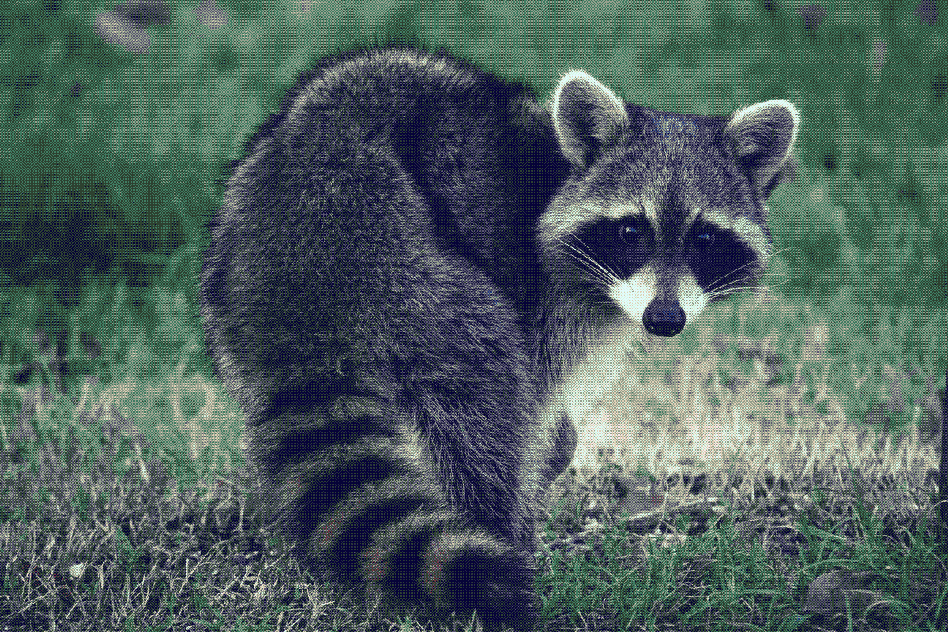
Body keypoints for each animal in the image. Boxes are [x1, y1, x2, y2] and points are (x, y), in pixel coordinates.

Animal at [200, 48, 798, 631]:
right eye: (632, 231)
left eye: (705, 238)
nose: (665, 319)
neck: (560, 173)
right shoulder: (533, 284)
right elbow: (534, 395)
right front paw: (549, 454)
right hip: (421, 274)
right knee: (482, 402)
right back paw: (497, 530)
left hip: (227, 288)